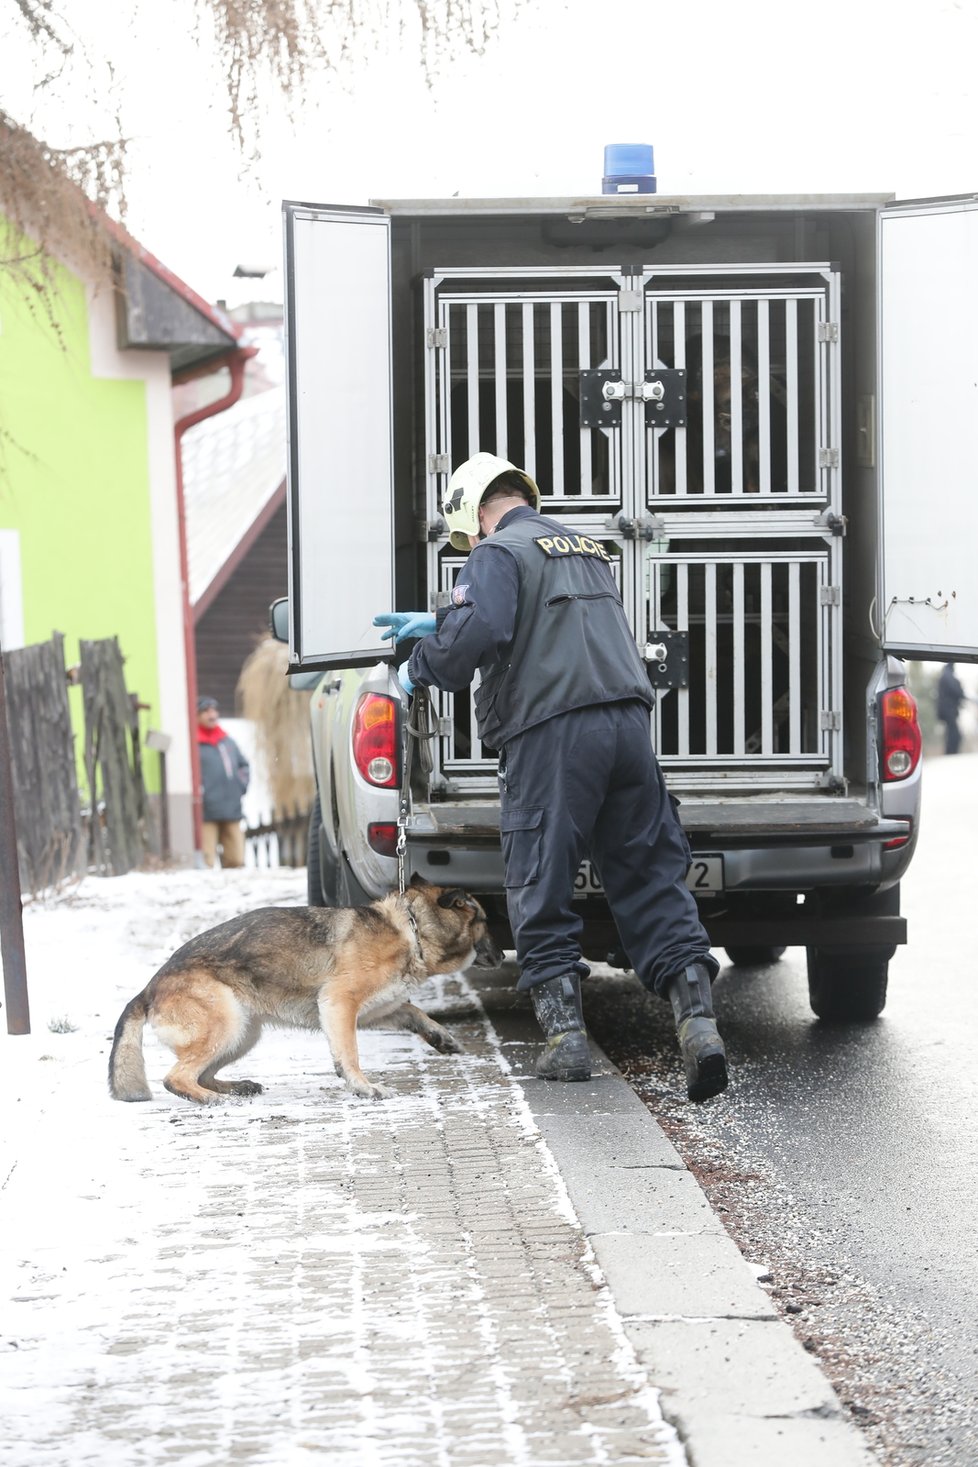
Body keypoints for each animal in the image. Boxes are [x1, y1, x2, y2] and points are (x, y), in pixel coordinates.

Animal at [110, 868, 501, 1103]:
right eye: (484, 920)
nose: (501, 954)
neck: (411, 929)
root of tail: (147, 989)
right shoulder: (340, 1004)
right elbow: (349, 1053)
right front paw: (363, 1086)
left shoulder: (375, 1010)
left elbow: (413, 1011)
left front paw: (441, 1037)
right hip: (227, 1026)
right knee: (176, 1077)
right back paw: (212, 1098)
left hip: (242, 1034)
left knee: (203, 1073)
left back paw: (235, 1087)